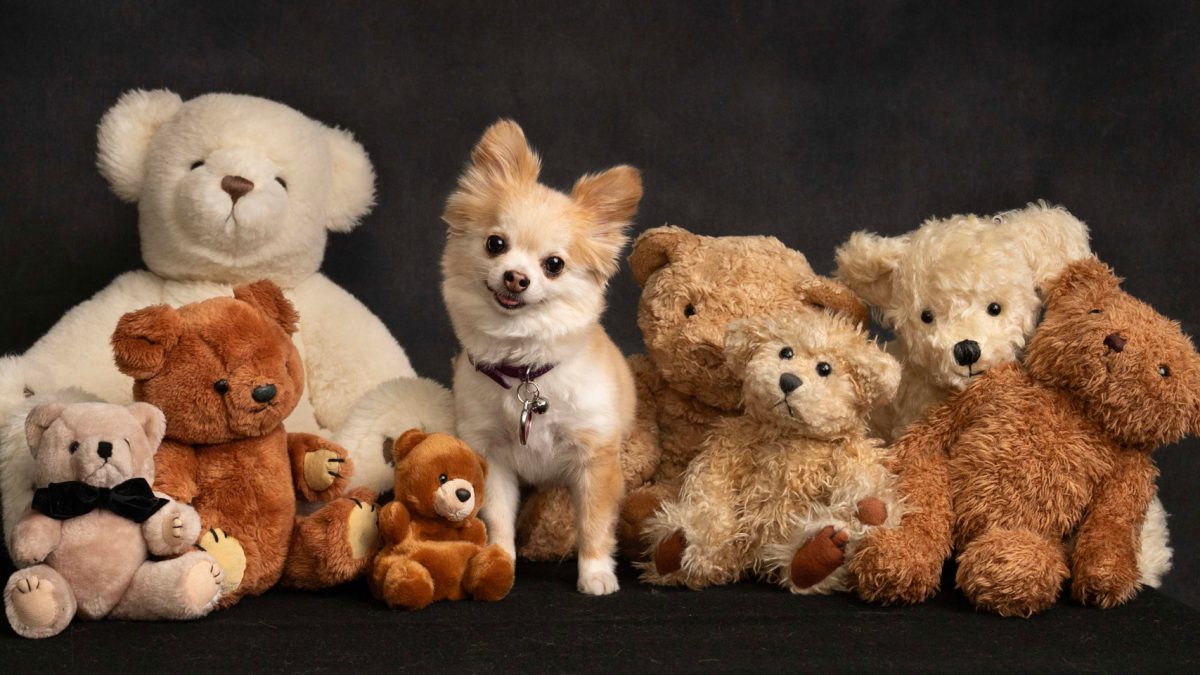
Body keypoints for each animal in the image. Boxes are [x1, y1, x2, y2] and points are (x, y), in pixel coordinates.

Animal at [441, 118, 643, 590]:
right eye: (495, 244)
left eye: (554, 265)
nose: (516, 277)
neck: (525, 370)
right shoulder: (491, 456)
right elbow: (496, 516)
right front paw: (498, 561)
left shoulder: (595, 460)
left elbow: (593, 522)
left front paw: (595, 574)